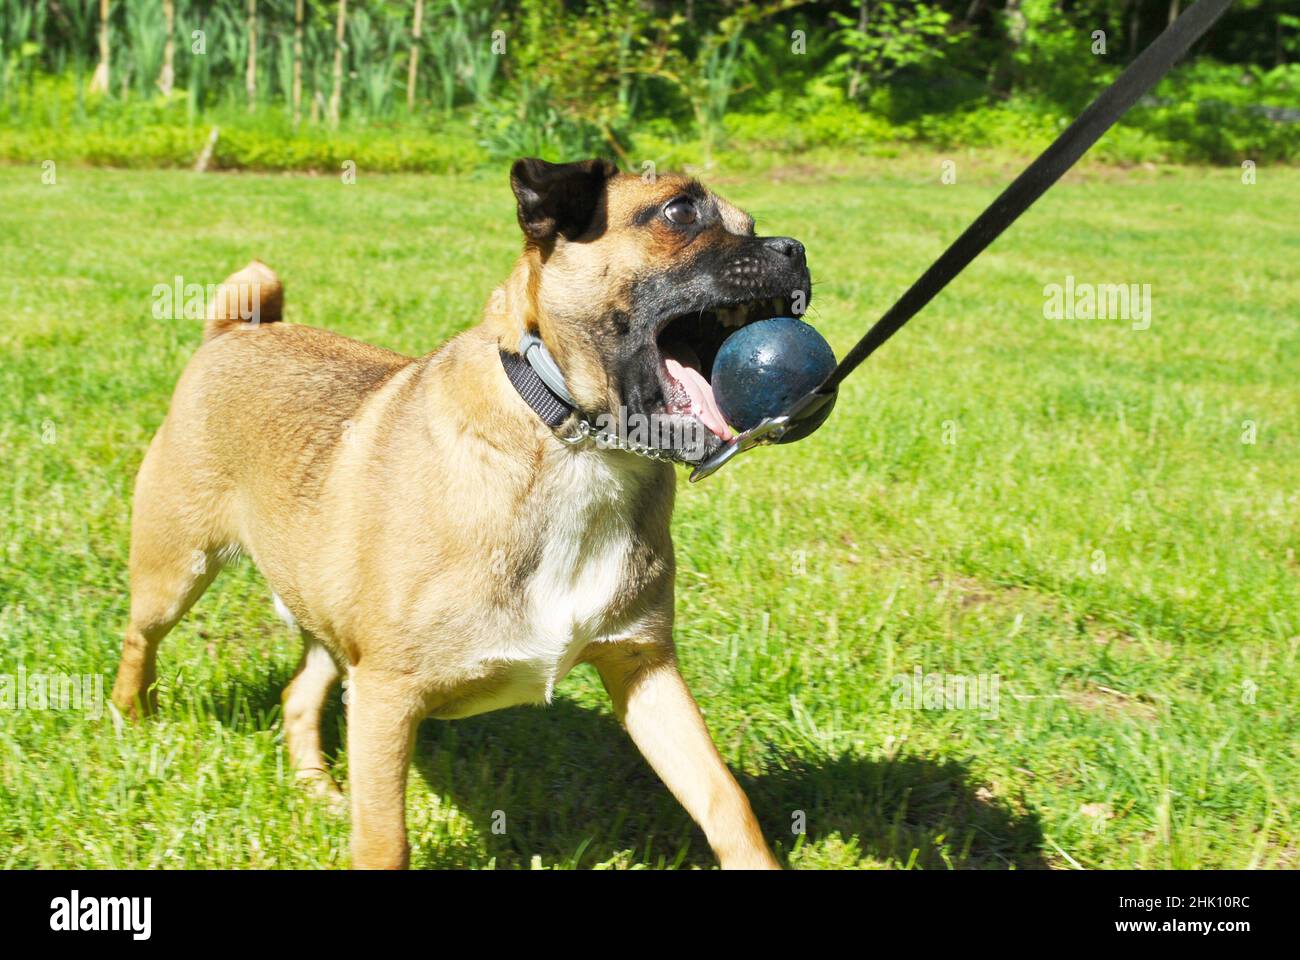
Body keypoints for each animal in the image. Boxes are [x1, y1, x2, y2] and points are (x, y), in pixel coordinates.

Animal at [116, 158, 811, 868]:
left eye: (750, 225)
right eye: (679, 213)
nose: (795, 250)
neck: (575, 443)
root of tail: (238, 331)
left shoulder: (643, 668)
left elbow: (722, 799)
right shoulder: (387, 696)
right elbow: (385, 839)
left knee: (299, 694)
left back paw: (318, 790)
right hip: (175, 570)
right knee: (139, 642)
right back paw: (134, 721)